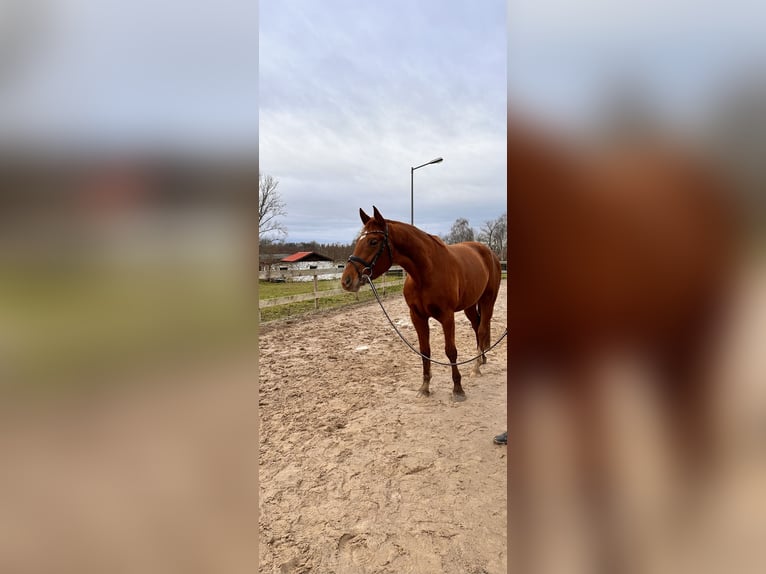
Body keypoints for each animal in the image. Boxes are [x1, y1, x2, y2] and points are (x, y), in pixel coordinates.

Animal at [342, 209, 504, 402]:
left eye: (373, 241)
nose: (346, 280)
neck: (426, 271)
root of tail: (489, 253)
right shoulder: (417, 317)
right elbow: (424, 351)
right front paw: (424, 387)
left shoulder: (447, 317)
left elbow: (451, 351)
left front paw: (458, 389)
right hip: (470, 305)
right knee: (476, 326)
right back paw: (482, 359)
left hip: (488, 300)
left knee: (482, 329)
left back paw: (476, 366)